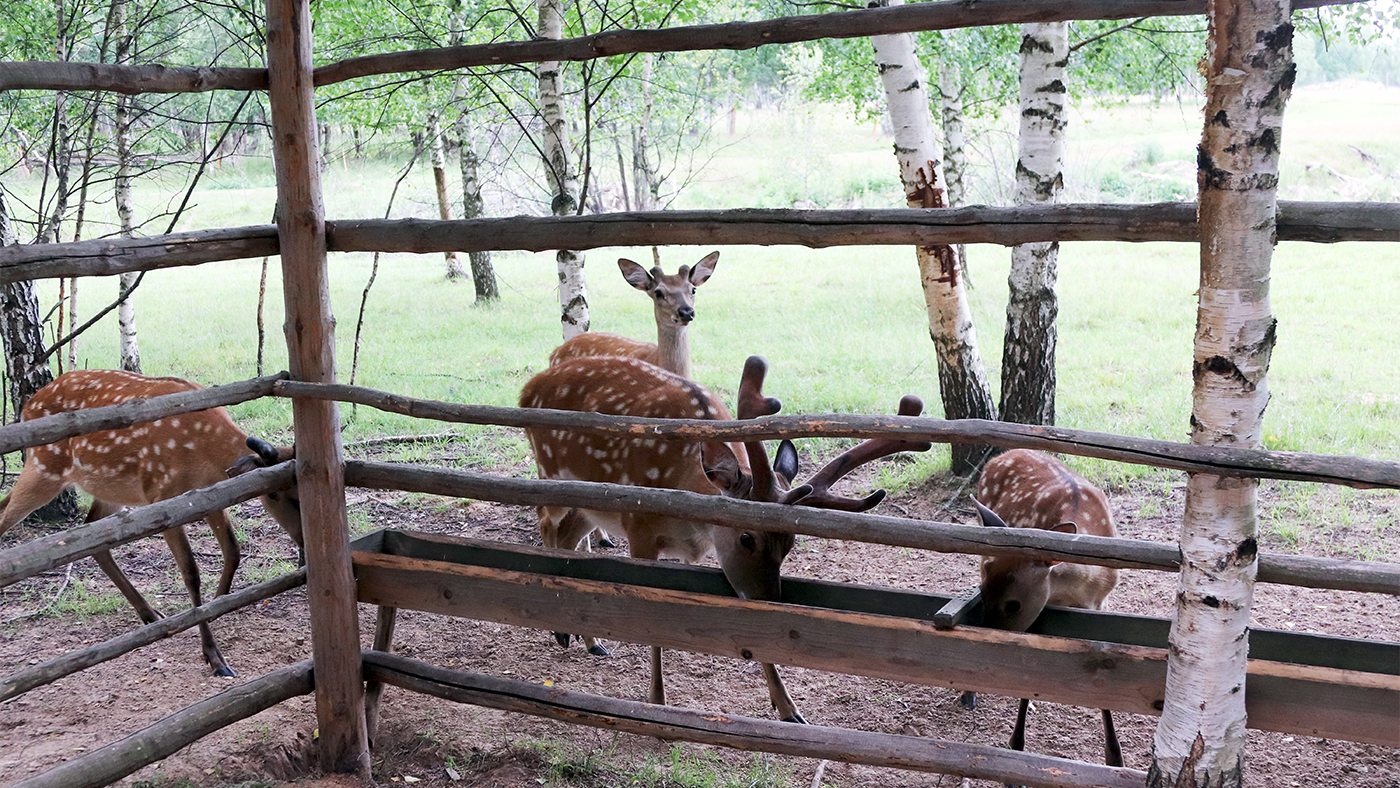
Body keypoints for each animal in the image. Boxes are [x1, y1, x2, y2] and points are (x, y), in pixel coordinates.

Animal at [0, 369, 301, 677]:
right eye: (274, 494)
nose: (302, 540)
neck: (206, 453)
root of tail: (28, 406)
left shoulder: (208, 495)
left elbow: (232, 551)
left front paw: (221, 604)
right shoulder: (163, 495)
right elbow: (191, 573)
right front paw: (215, 658)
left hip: (106, 488)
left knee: (92, 534)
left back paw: (150, 614)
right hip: (44, 467)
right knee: (5, 517)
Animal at [518, 354, 929, 722]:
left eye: (790, 543)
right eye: (747, 537)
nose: (772, 601)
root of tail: (528, 387)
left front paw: (790, 709)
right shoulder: (638, 525)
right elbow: (651, 624)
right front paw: (656, 702)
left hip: (591, 503)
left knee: (568, 536)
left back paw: (590, 641)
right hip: (550, 471)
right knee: (545, 522)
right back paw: (562, 631)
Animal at [974, 450, 1125, 772]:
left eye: (1013, 604)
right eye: (981, 594)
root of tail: (1003, 454)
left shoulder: (1100, 604)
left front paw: (1115, 759)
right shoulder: (1044, 609)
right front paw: (1016, 746)